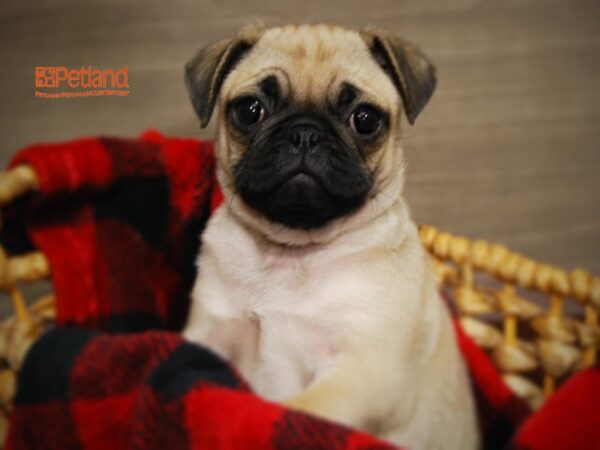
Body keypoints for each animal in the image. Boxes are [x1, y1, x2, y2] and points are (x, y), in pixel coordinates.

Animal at [183, 24, 478, 450]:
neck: (291, 249)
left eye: (365, 119)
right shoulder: (208, 336)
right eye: (250, 110)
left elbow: (298, 409)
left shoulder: (359, 374)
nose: (305, 133)